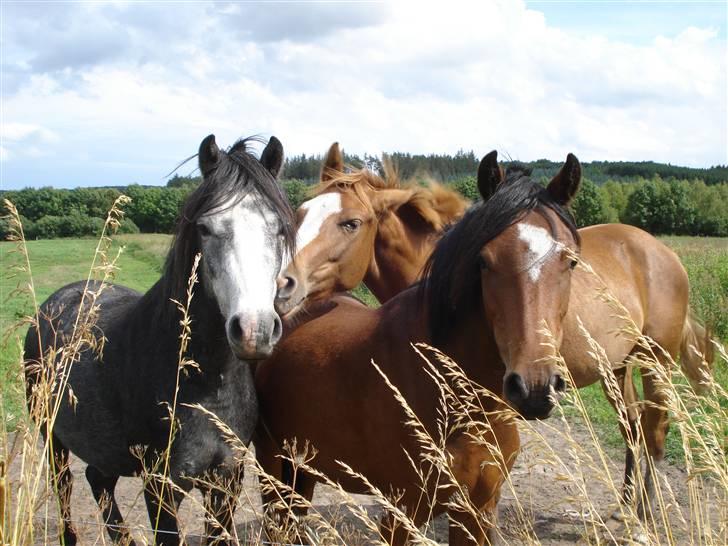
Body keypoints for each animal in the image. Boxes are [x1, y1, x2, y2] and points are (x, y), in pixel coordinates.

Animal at [24, 134, 295, 545]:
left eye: (278, 228)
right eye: (205, 228)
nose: (254, 331)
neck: (203, 381)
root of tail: (54, 303)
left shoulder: (228, 479)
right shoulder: (162, 486)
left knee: (97, 478)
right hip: (51, 436)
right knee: (65, 487)